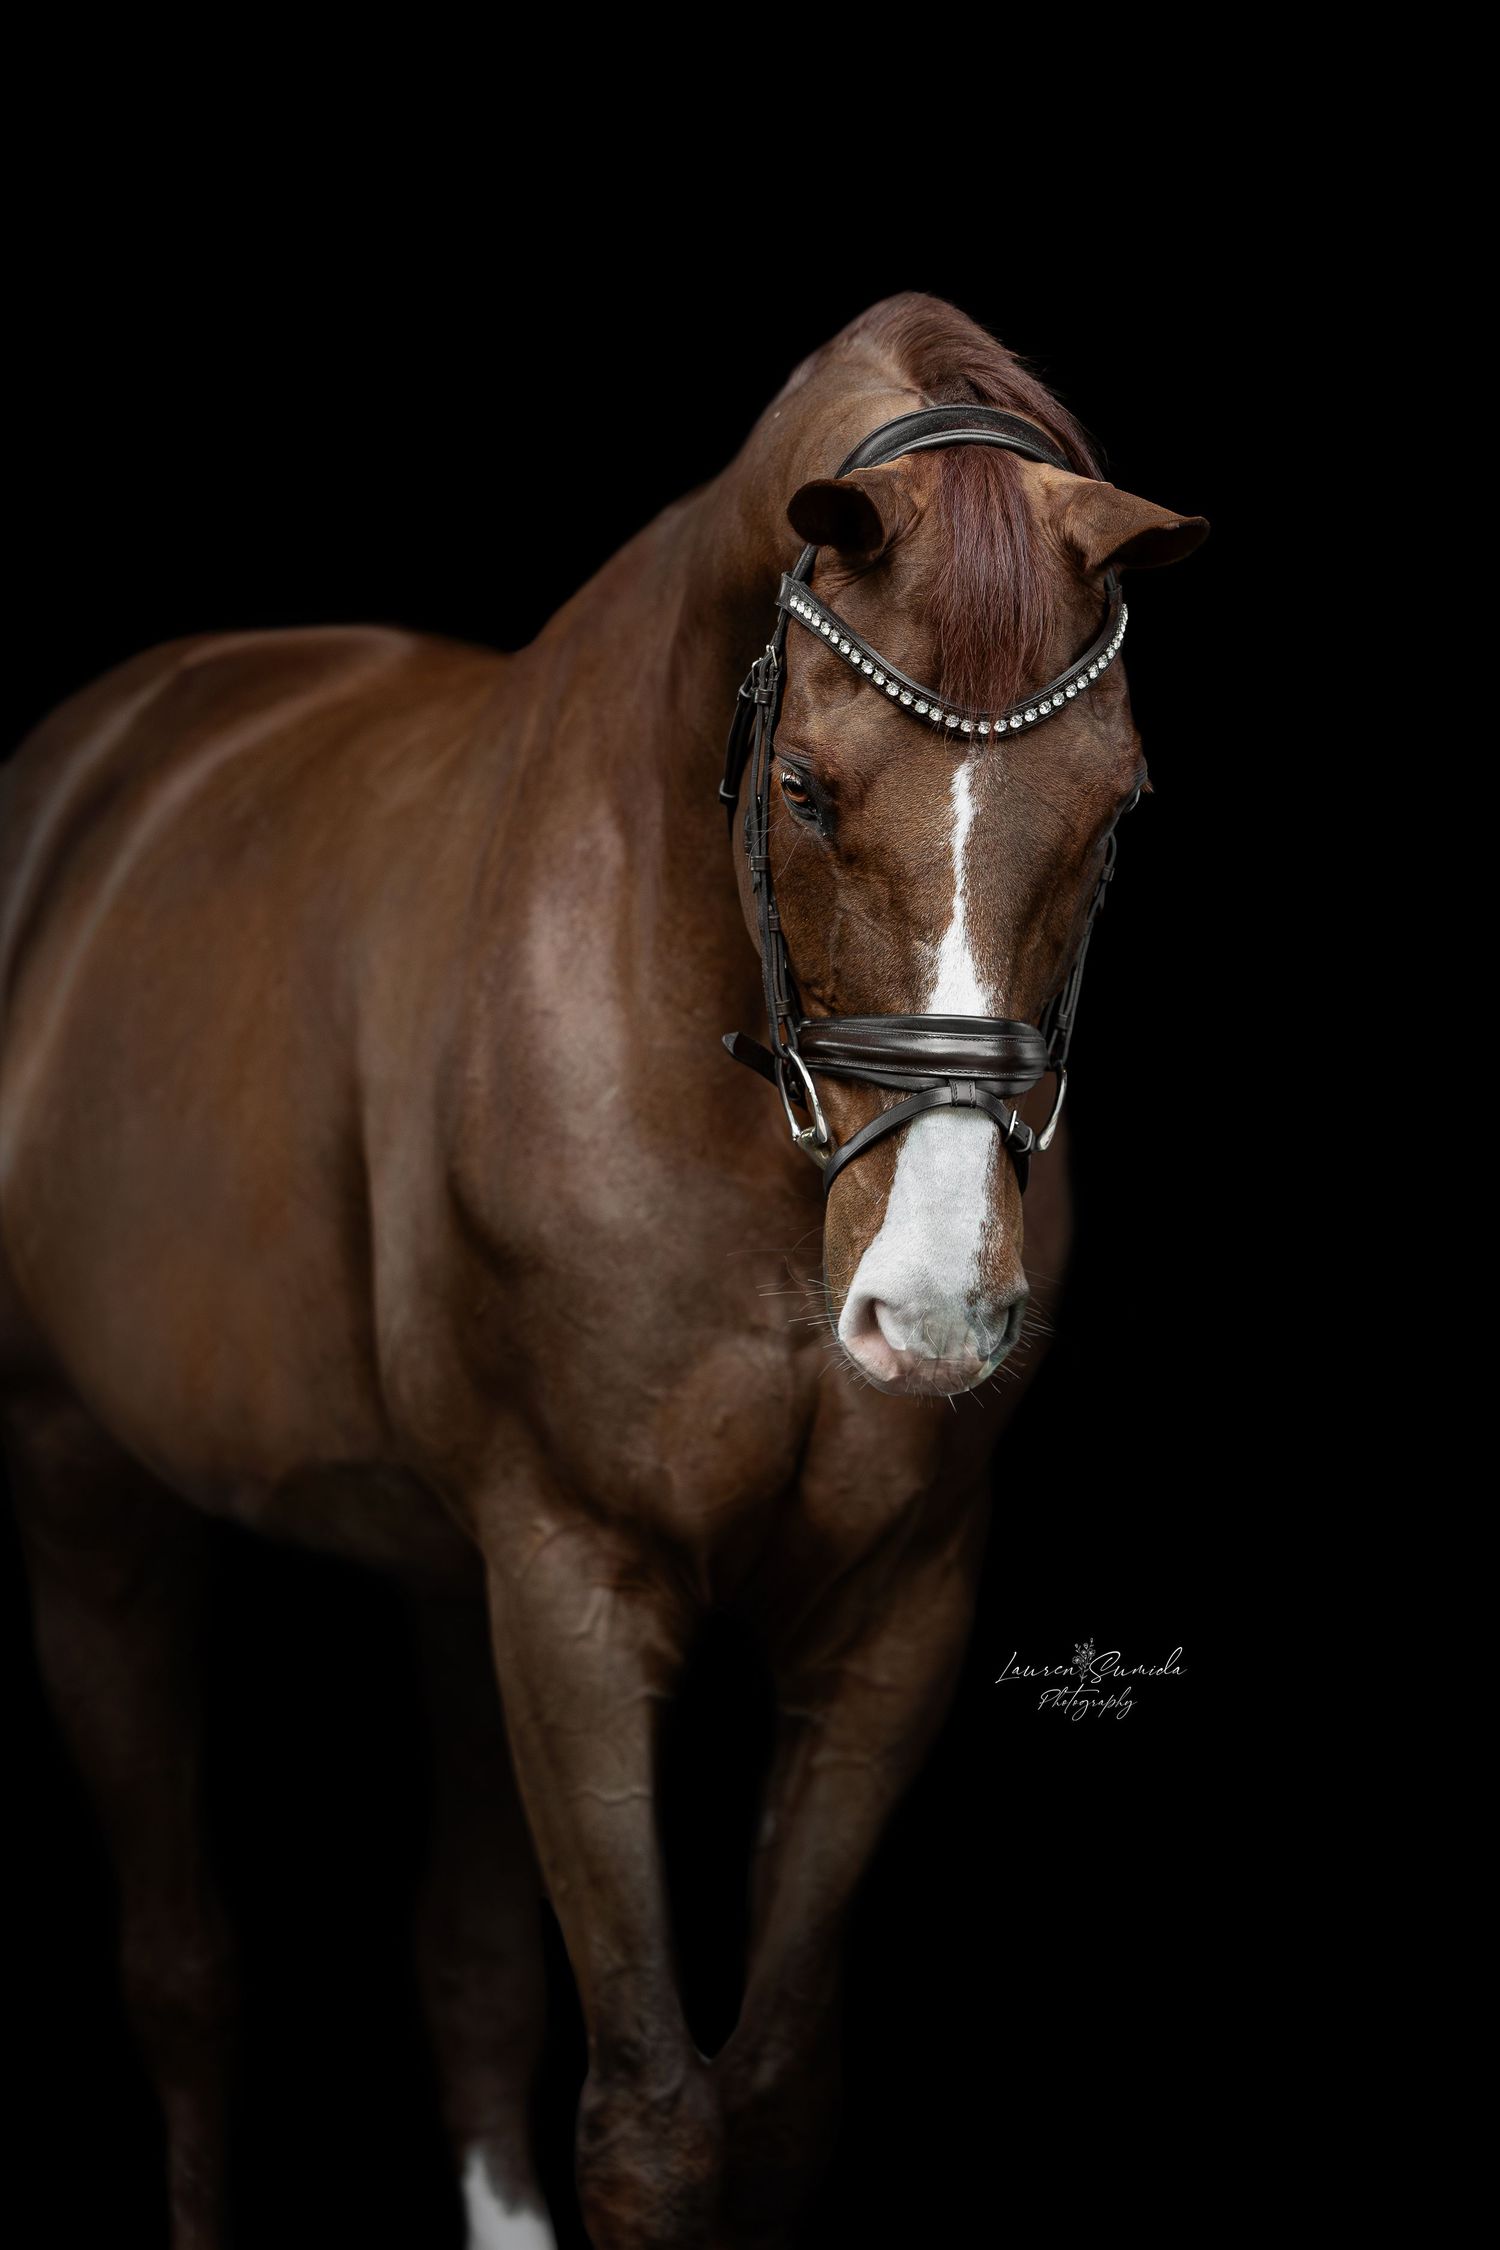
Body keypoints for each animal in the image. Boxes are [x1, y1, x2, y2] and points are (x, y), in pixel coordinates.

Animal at [0, 291, 1207, 2249]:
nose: (933, 1306)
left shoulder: (892, 1608)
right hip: (85, 1493)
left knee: (469, 1969)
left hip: (440, 1567)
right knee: (181, 1972)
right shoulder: (574, 1582)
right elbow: (651, 2121)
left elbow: (767, 2101)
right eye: (805, 787)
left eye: (1118, 806)